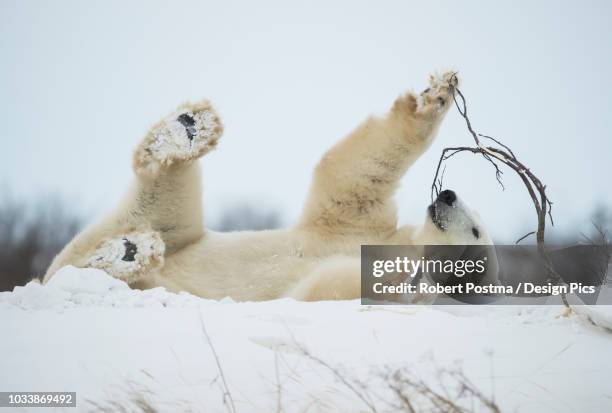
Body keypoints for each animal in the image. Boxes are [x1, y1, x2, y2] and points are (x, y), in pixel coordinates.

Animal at [43, 71, 492, 300]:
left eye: (475, 229)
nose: (447, 194)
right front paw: (436, 95)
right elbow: (355, 176)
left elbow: (331, 286)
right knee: (164, 206)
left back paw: (129, 252)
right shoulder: (360, 227)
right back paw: (185, 132)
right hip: (182, 239)